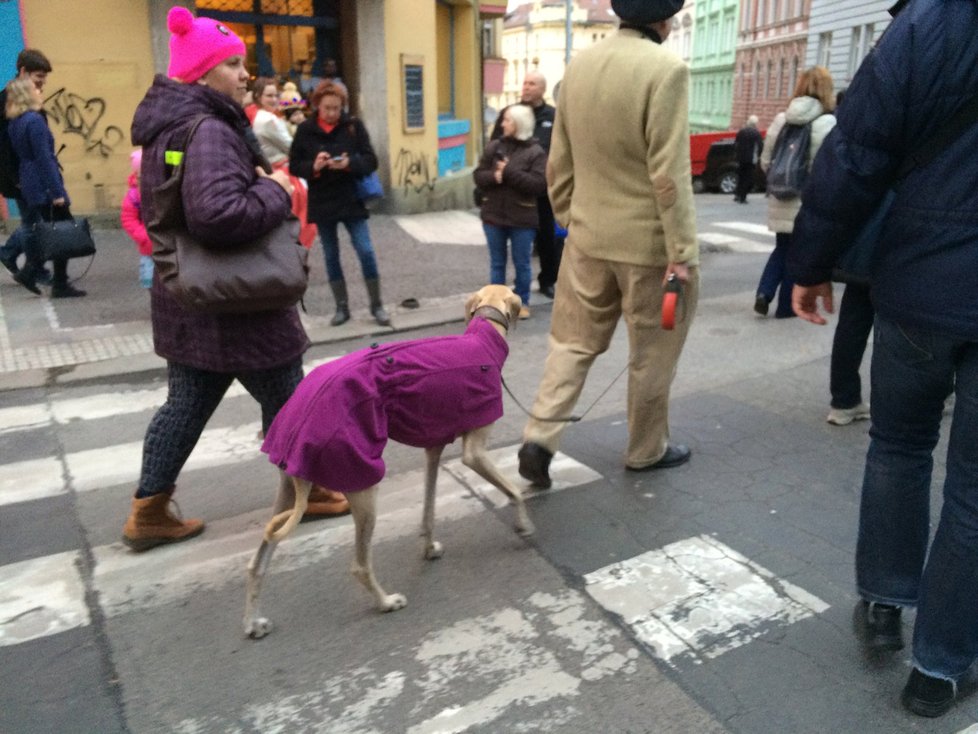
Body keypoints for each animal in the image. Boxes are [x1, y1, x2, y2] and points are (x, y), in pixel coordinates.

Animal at [244, 284, 532, 640]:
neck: (482, 338)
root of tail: (299, 408)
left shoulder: (433, 449)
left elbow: (428, 511)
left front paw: (429, 548)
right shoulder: (474, 453)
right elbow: (514, 491)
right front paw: (524, 526)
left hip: (288, 490)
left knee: (258, 561)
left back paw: (253, 622)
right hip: (363, 486)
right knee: (359, 565)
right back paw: (385, 602)